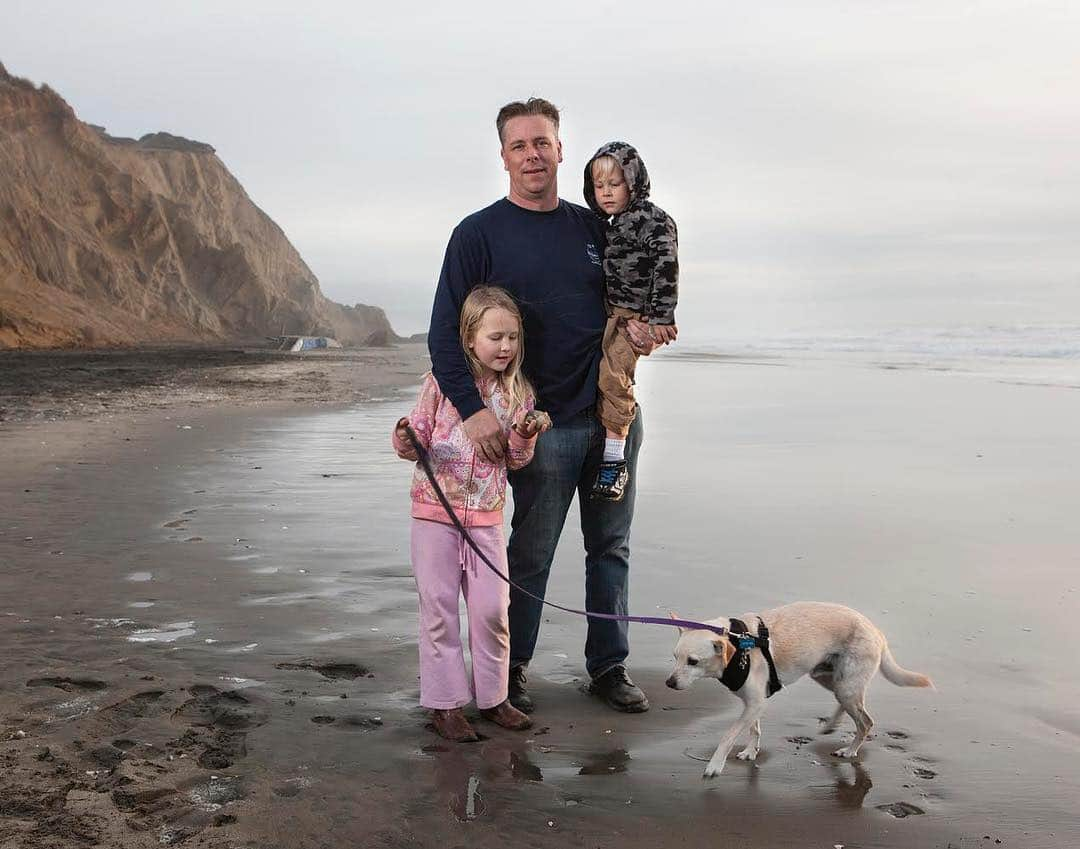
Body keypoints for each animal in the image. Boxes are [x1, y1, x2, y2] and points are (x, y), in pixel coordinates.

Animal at [660, 600, 933, 773]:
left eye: (693, 661)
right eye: (674, 657)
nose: (669, 683)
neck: (738, 646)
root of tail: (876, 631)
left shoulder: (754, 703)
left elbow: (729, 735)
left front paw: (715, 765)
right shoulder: (754, 703)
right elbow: (754, 729)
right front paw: (750, 752)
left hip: (846, 685)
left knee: (865, 722)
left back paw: (849, 750)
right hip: (829, 677)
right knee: (847, 705)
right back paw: (831, 725)